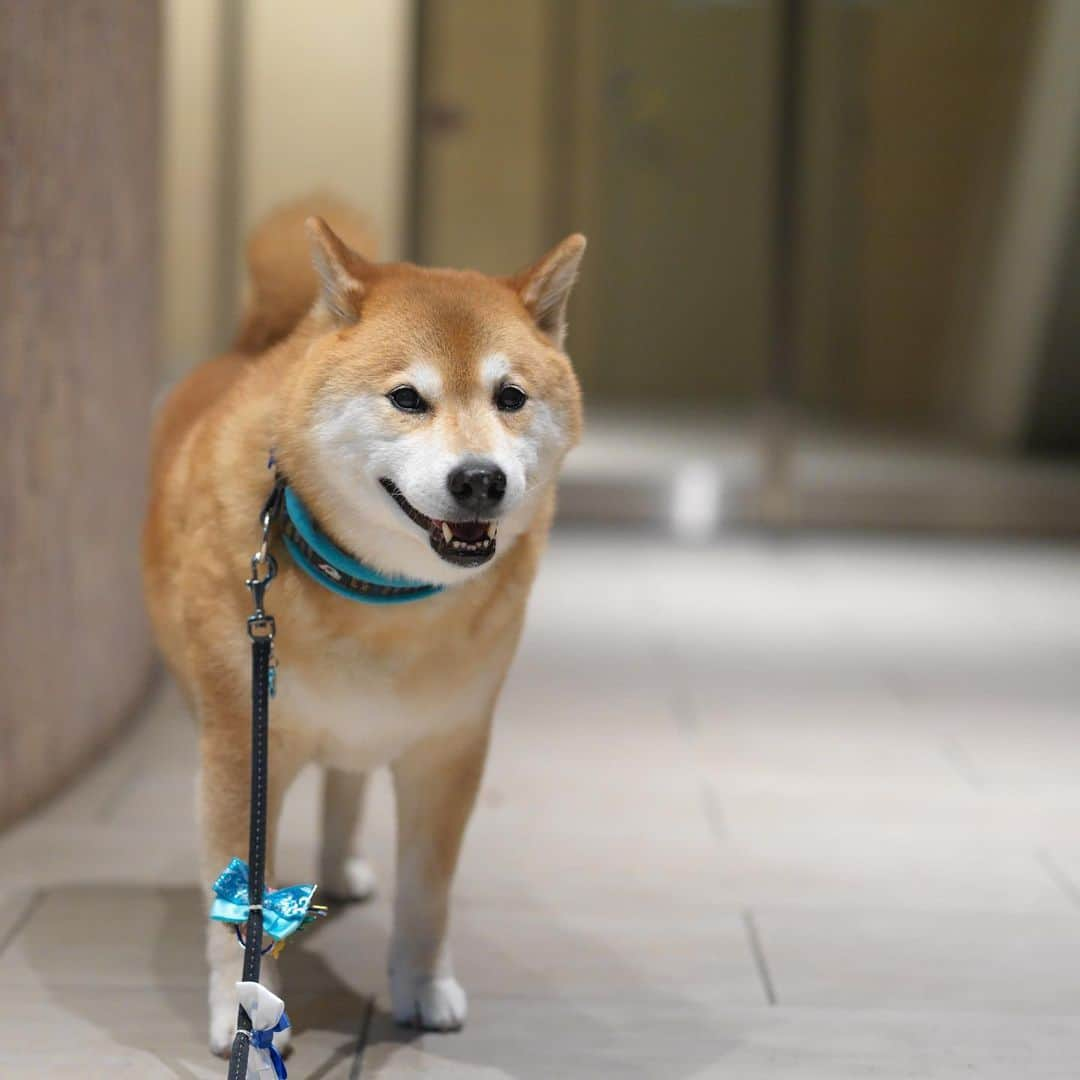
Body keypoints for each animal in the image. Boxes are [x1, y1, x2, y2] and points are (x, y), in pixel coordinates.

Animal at [142, 198, 587, 1049]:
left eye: (510, 397)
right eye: (408, 398)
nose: (479, 480)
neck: (381, 596)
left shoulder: (450, 750)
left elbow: (428, 894)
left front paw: (422, 984)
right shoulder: (242, 744)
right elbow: (240, 906)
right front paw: (243, 1013)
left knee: (347, 777)